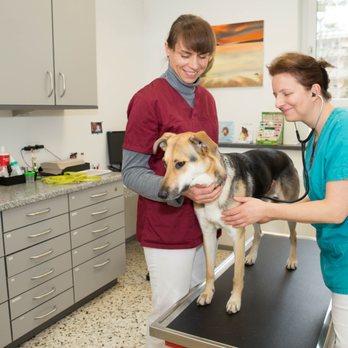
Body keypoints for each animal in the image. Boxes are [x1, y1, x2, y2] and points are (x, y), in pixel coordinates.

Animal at [154, 131, 300, 316]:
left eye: (180, 164)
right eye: (164, 163)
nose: (160, 195)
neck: (214, 186)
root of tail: (283, 154)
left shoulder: (237, 235)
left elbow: (237, 276)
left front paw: (234, 301)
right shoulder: (208, 233)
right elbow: (209, 271)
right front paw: (207, 293)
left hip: (288, 209)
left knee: (293, 236)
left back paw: (292, 260)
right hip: (254, 210)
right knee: (259, 233)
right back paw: (251, 256)